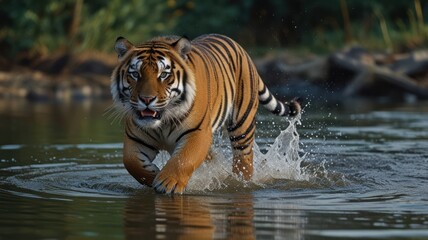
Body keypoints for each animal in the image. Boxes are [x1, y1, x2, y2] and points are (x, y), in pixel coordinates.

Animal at [112, 33, 302, 194]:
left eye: (164, 74)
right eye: (135, 74)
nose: (146, 99)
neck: (162, 121)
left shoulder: (197, 133)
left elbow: (184, 159)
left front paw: (168, 183)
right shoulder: (135, 138)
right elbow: (131, 162)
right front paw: (153, 175)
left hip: (242, 126)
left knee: (244, 160)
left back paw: (241, 182)